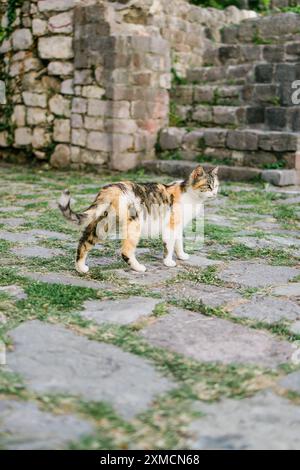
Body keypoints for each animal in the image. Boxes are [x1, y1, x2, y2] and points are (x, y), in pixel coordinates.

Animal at [58, 166, 219, 274]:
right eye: (208, 186)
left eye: (216, 186)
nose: (216, 194)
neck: (191, 196)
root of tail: (112, 188)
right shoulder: (171, 226)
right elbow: (169, 246)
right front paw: (168, 262)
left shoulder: (178, 227)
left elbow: (178, 243)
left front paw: (182, 256)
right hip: (134, 225)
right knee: (126, 251)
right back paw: (139, 267)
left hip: (103, 224)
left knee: (84, 242)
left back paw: (81, 268)